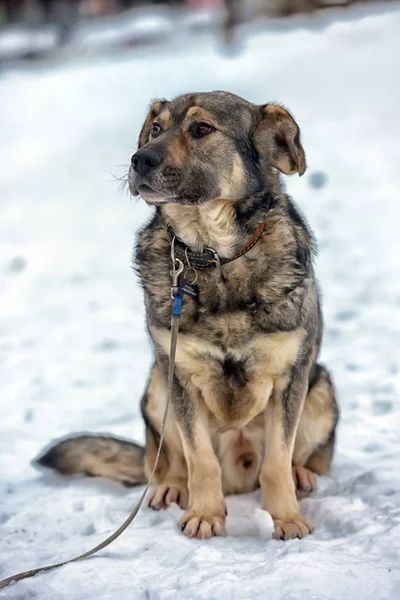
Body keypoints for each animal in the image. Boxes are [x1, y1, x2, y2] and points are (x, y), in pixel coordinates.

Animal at [36, 91, 338, 540]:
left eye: (201, 129)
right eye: (155, 129)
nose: (139, 159)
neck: (212, 256)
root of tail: (239, 479)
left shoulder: (290, 377)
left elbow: (277, 461)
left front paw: (286, 518)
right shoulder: (181, 376)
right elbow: (200, 459)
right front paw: (206, 514)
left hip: (322, 390)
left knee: (303, 459)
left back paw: (303, 476)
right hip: (156, 388)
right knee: (167, 462)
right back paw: (172, 488)